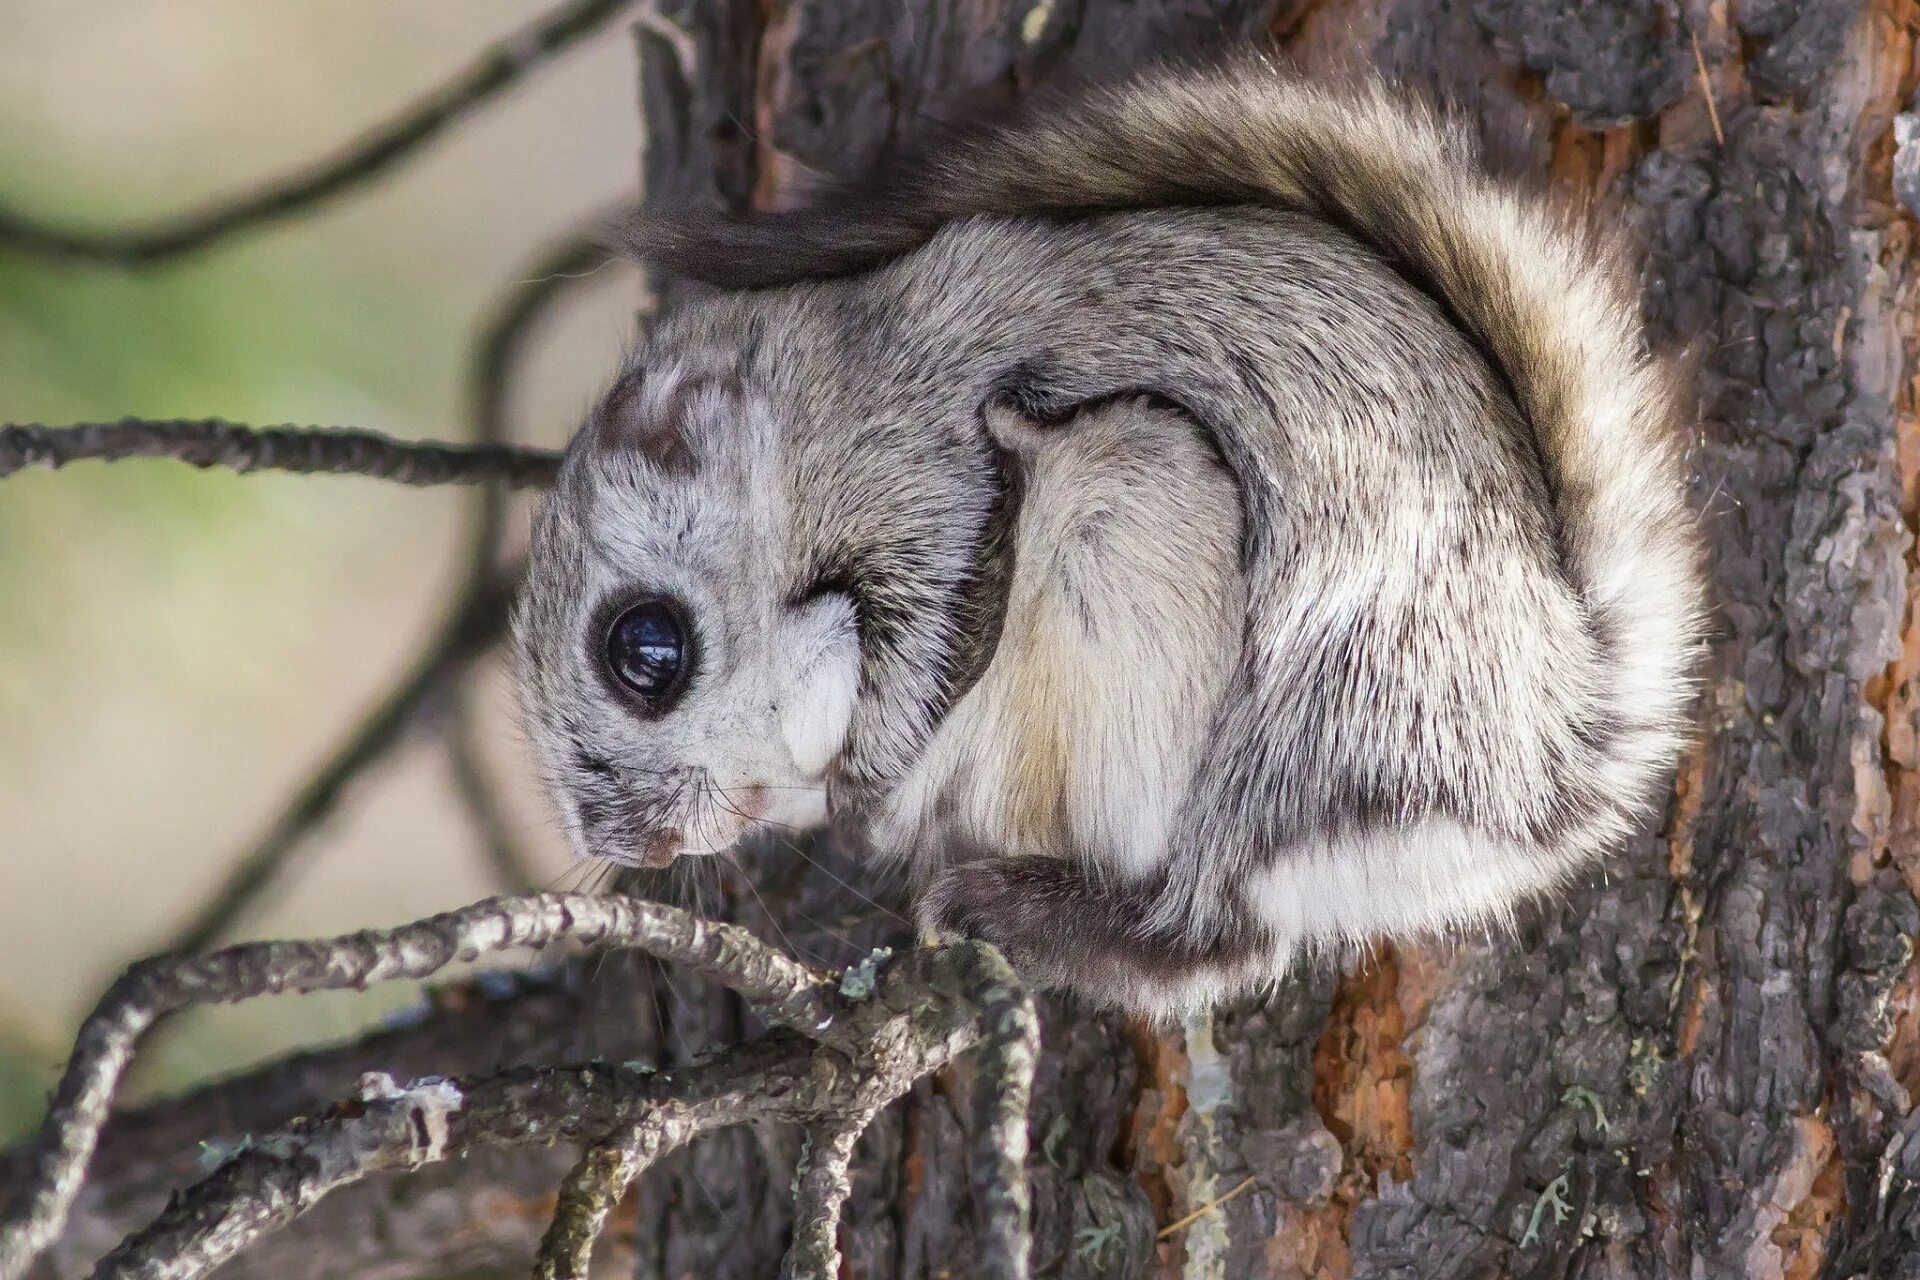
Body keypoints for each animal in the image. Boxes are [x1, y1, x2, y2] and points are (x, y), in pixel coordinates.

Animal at [514, 52, 1712, 1020]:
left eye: (646, 649)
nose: (636, 846)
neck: (805, 435)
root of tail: (1535, 765)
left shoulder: (938, 476)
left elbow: (935, 644)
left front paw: (872, 785)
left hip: (1175, 578)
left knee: (1213, 940)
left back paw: (1028, 910)